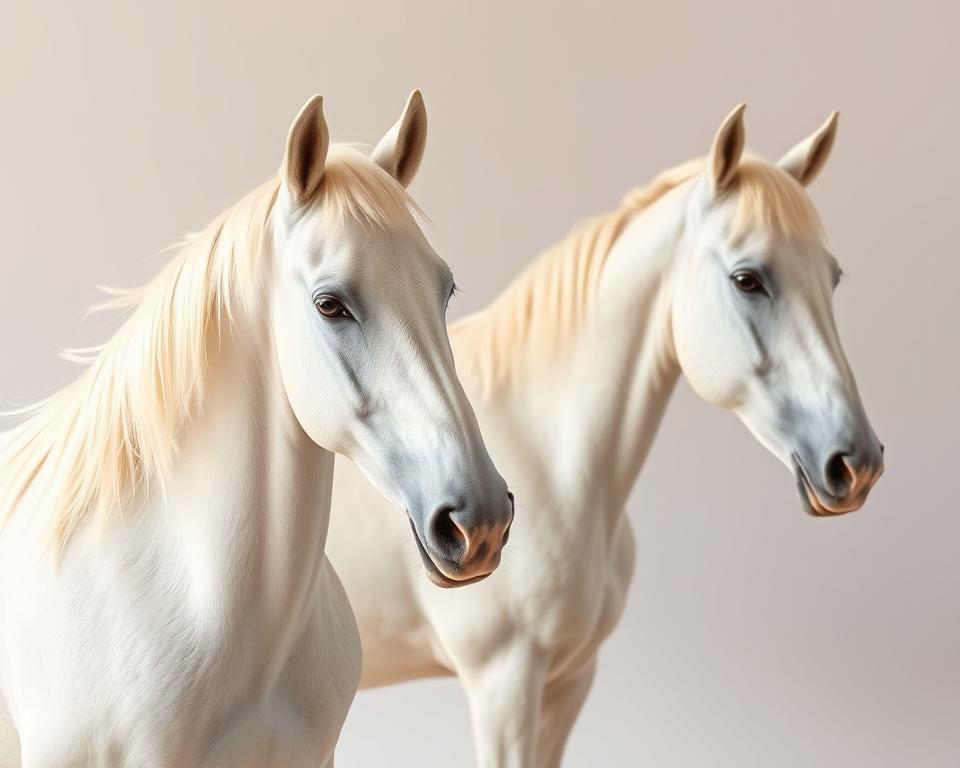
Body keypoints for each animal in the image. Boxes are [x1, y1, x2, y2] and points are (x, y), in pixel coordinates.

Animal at [327, 105, 885, 767]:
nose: (856, 463)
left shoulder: (572, 678)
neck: (550, 462)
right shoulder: (503, 681)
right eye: (748, 279)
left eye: (833, 278)